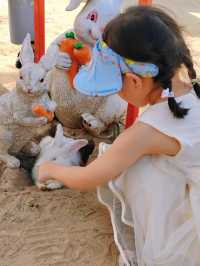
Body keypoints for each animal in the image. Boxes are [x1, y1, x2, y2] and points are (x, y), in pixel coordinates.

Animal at [0, 33, 57, 168]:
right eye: (21, 77)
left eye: (42, 80)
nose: (29, 89)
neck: (32, 99)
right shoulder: (18, 113)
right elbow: (24, 119)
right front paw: (42, 120)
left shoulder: (44, 99)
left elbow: (50, 105)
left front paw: (51, 110)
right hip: (5, 137)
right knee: (2, 153)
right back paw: (13, 162)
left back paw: (33, 148)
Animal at [47, 0, 126, 137]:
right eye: (92, 16)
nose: (102, 33)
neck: (91, 45)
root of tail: (73, 125)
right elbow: (51, 49)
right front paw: (63, 61)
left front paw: (87, 68)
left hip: (113, 105)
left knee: (101, 125)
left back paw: (90, 123)